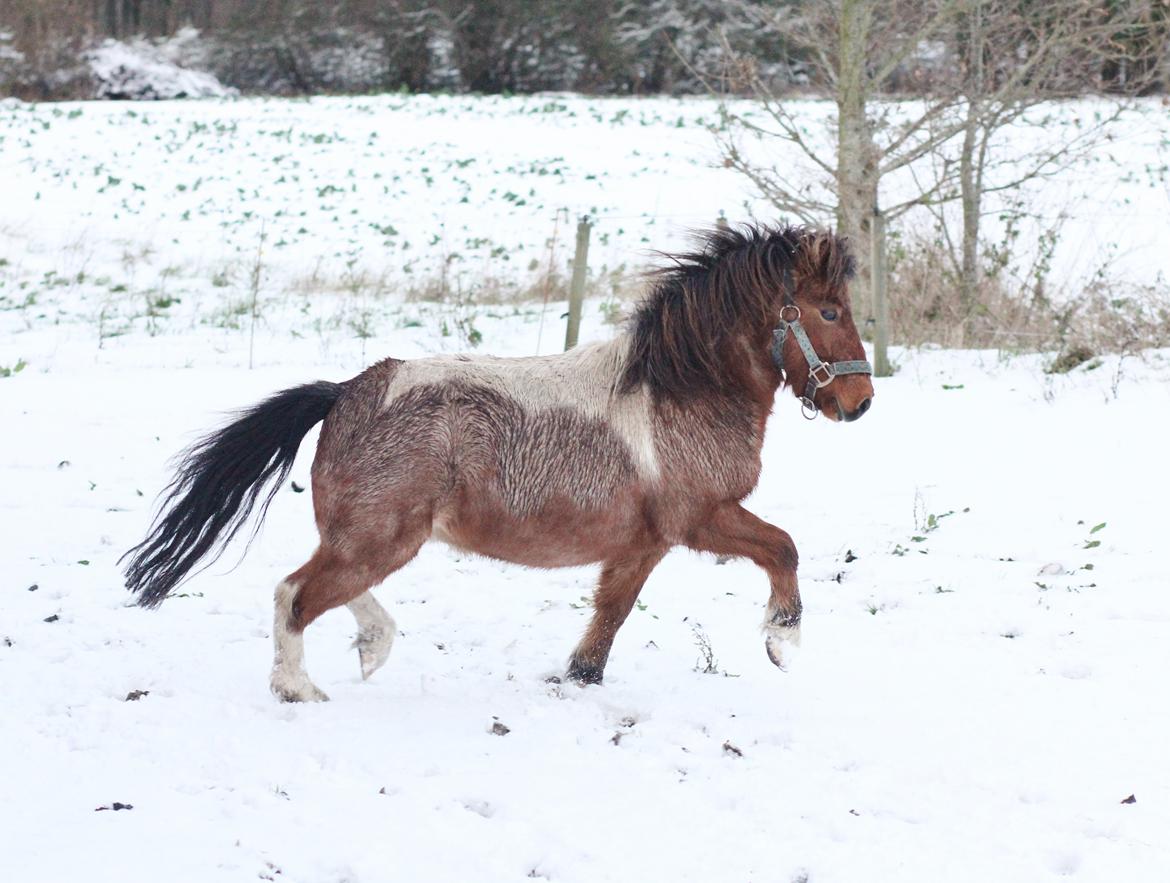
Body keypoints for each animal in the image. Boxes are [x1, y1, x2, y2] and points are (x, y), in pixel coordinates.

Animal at [123, 224, 875, 701]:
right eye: (829, 311)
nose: (860, 401)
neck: (678, 392)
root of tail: (348, 391)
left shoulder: (644, 541)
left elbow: (611, 613)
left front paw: (579, 679)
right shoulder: (701, 518)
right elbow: (783, 547)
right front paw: (782, 641)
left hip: (377, 534)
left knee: (325, 583)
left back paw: (372, 645)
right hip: (383, 536)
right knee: (296, 593)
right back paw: (300, 688)